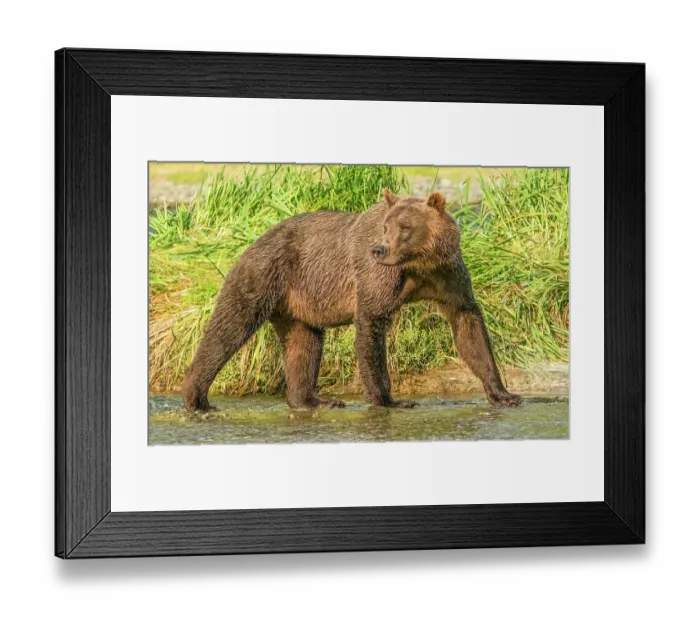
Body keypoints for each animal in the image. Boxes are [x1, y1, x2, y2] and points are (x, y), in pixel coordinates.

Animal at [182, 189, 521, 412]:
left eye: (405, 227)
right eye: (386, 226)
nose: (379, 249)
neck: (418, 265)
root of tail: (254, 239)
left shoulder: (448, 276)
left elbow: (469, 326)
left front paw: (504, 394)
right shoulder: (378, 278)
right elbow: (371, 324)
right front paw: (391, 399)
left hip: (299, 301)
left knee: (303, 343)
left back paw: (314, 400)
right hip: (263, 274)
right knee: (230, 326)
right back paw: (198, 399)